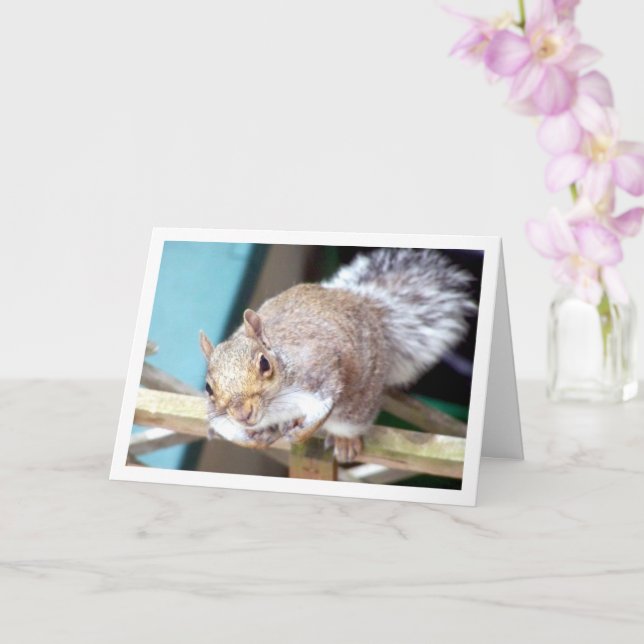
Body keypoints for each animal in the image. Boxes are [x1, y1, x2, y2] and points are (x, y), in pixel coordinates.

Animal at [199, 248, 476, 463]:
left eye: (265, 364)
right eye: (208, 388)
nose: (242, 415)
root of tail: (366, 307)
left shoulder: (317, 374)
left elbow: (323, 406)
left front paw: (301, 433)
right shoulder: (219, 413)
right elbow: (223, 424)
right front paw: (248, 439)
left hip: (358, 405)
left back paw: (343, 440)